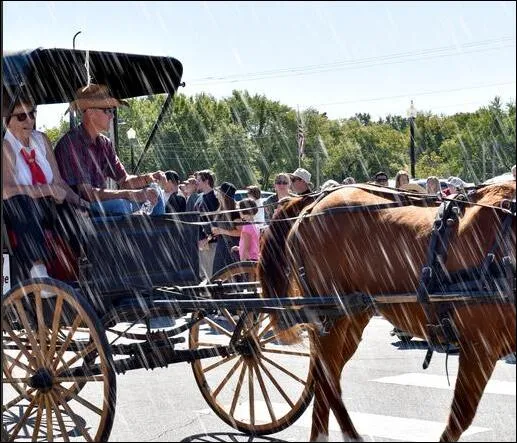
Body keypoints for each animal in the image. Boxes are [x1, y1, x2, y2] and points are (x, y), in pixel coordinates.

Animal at [260, 182, 512, 442]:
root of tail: (312, 205)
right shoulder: (479, 346)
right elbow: (460, 418)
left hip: (352, 316)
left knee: (326, 376)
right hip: (330, 316)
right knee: (327, 378)